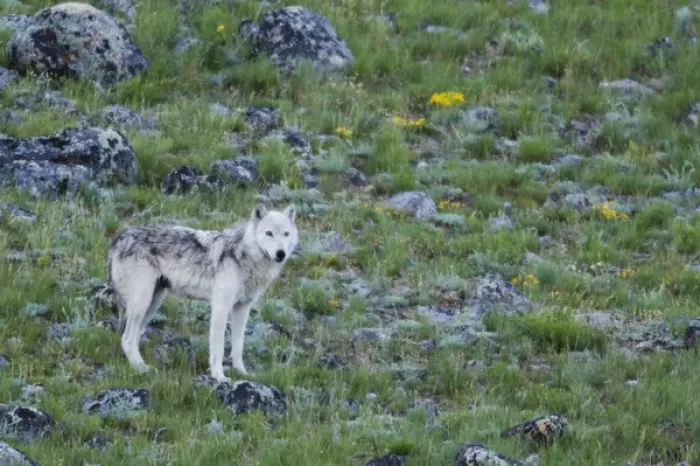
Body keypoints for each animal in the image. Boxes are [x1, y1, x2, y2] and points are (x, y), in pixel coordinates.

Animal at [107, 203, 299, 383]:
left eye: (286, 234)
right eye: (269, 233)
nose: (280, 254)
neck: (244, 256)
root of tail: (118, 238)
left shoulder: (242, 309)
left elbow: (238, 346)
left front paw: (242, 373)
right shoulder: (221, 307)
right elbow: (218, 348)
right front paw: (220, 377)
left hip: (153, 304)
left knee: (133, 337)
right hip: (142, 304)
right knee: (127, 339)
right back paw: (141, 369)